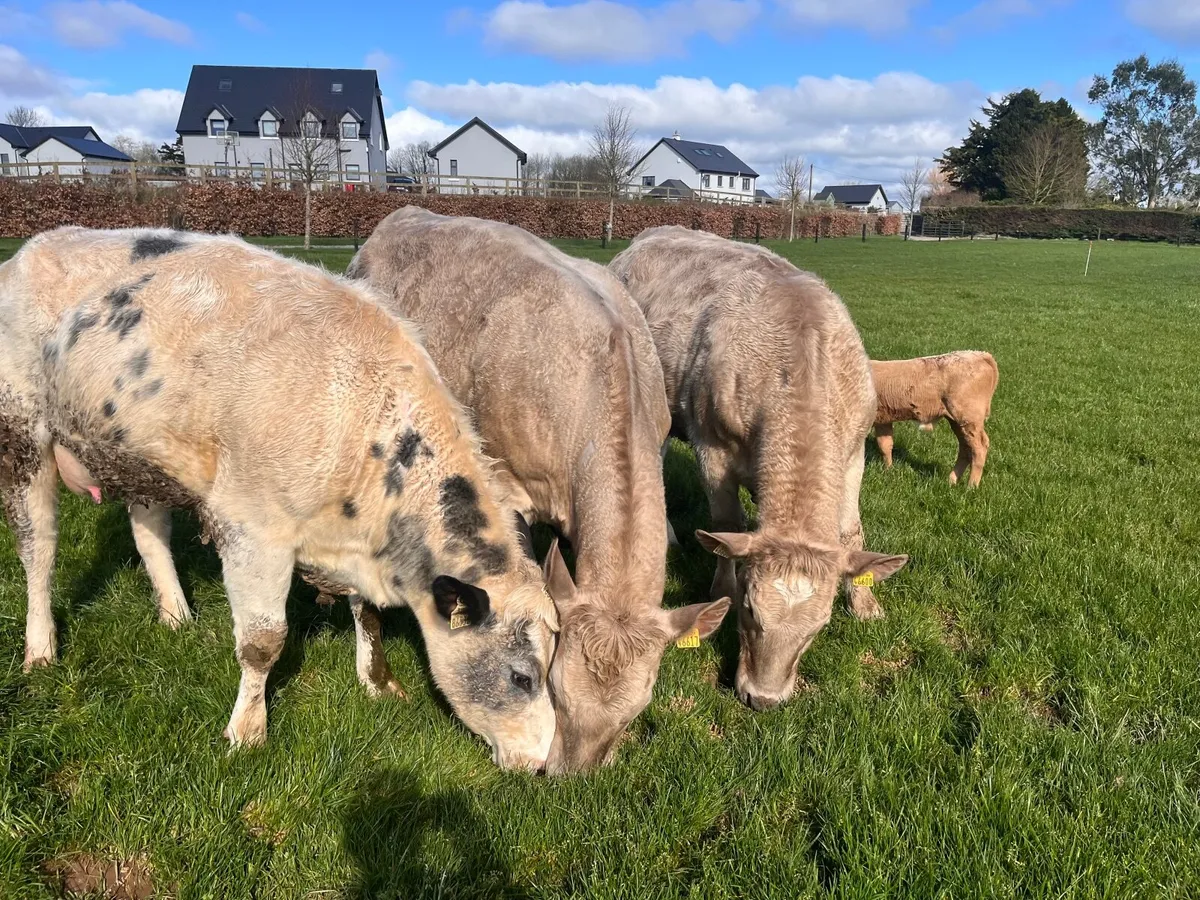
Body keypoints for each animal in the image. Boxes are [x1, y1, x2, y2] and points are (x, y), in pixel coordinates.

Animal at [0, 226, 558, 770]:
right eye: (522, 677)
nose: (542, 764)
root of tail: (36, 246)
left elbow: (368, 614)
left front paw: (378, 681)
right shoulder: (252, 529)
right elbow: (263, 642)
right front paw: (247, 731)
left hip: (146, 458)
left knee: (149, 531)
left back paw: (176, 615)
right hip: (24, 436)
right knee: (40, 548)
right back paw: (41, 647)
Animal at [610, 226, 908, 711]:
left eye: (821, 625)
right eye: (750, 609)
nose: (763, 699)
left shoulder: (852, 454)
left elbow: (851, 533)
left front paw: (865, 603)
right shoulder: (712, 446)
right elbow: (726, 525)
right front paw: (721, 593)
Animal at [870, 352, 999, 487]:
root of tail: (980, 355)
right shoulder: (883, 419)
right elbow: (885, 445)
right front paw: (888, 471)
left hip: (969, 418)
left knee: (979, 447)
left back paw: (971, 486)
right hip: (957, 421)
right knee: (965, 447)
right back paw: (952, 481)